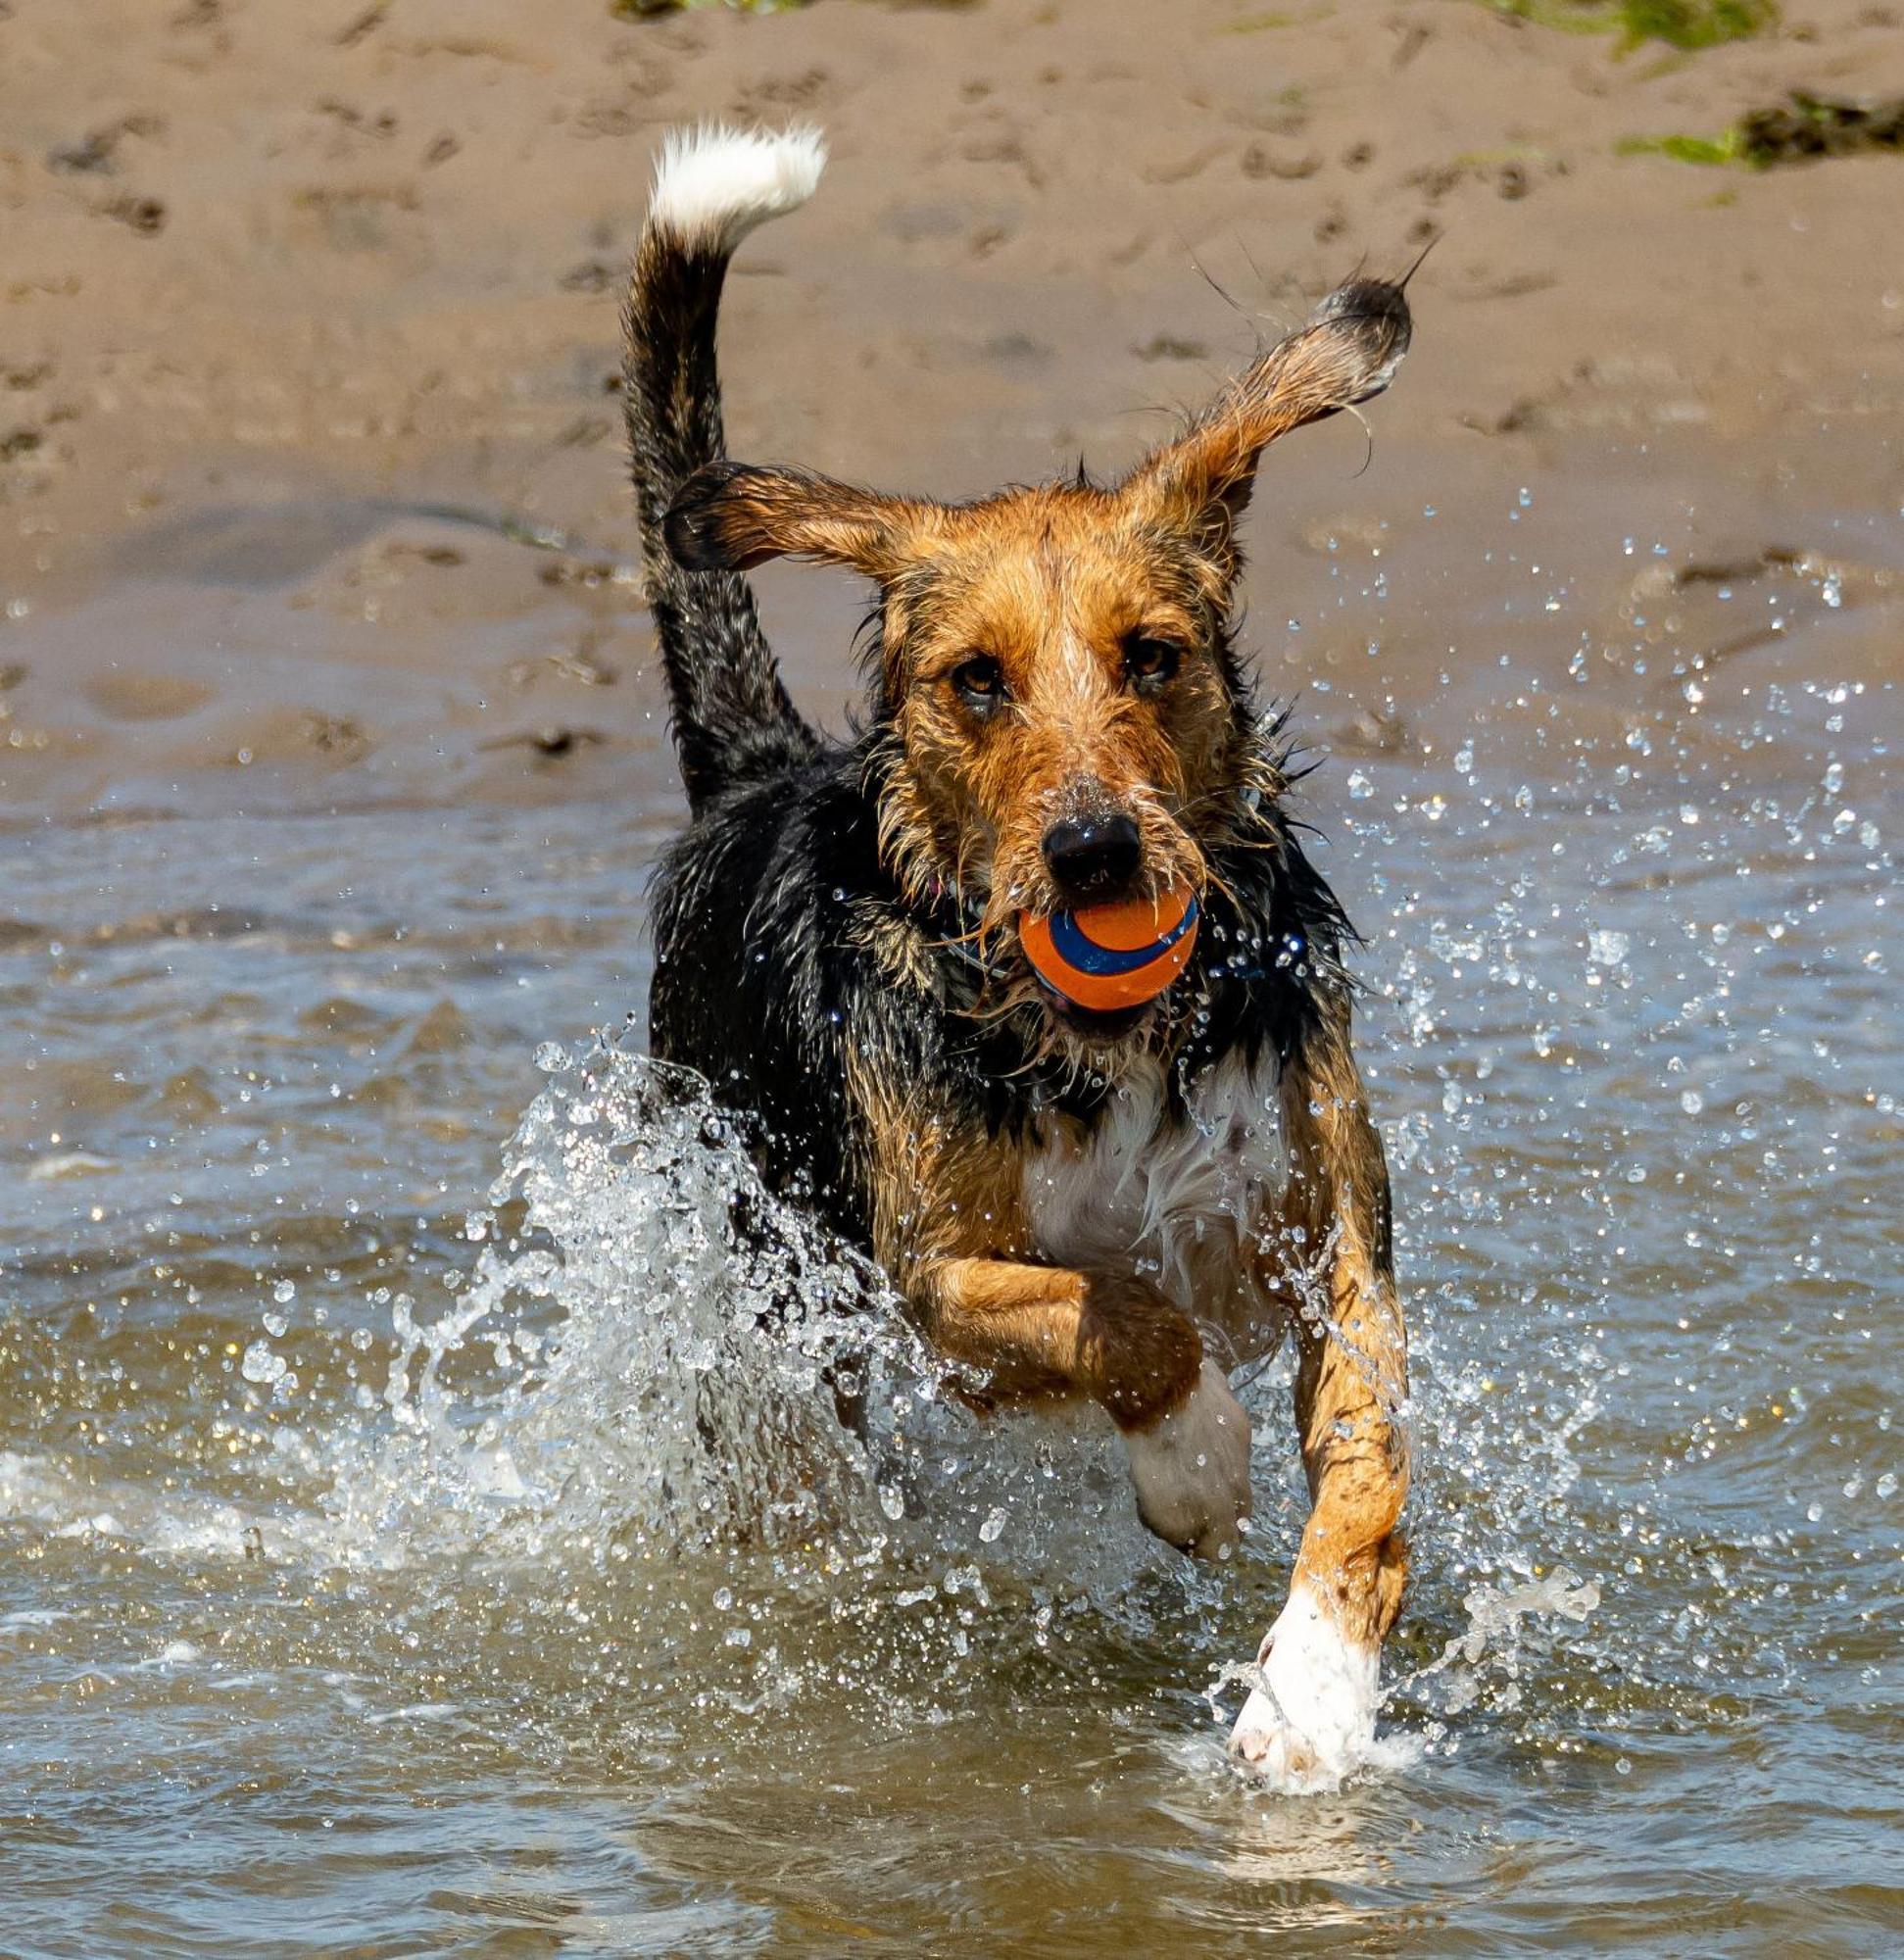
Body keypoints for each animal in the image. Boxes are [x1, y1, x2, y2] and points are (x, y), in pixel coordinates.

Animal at [622, 119, 1410, 1780]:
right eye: (973, 681)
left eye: (1150, 656)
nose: (1094, 855)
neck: (1108, 1045)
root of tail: (762, 769)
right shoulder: (935, 1285)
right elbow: (1125, 1320)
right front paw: (1192, 1462)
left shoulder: (1332, 1248)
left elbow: (1369, 1463)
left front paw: (1311, 1693)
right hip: (772, 1291)